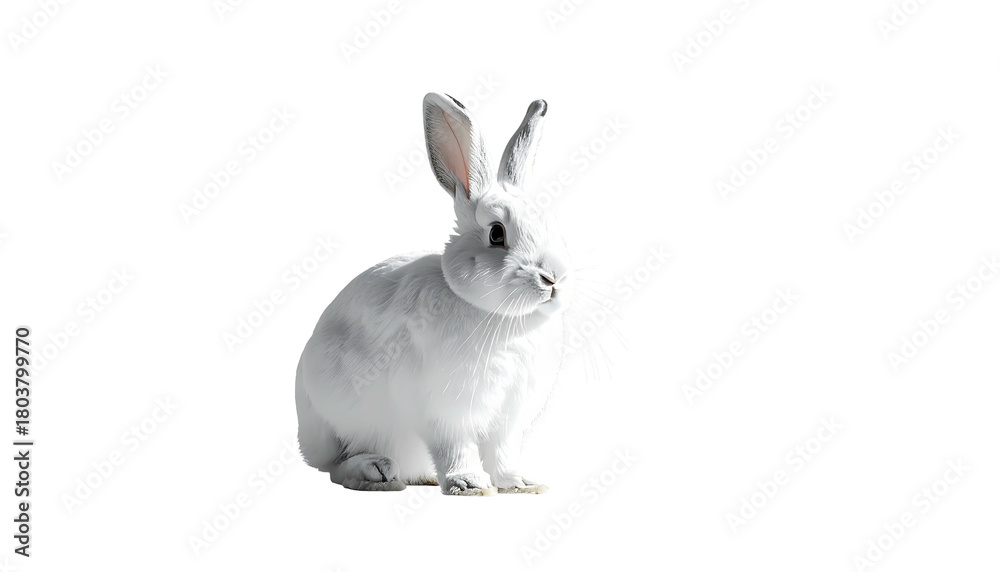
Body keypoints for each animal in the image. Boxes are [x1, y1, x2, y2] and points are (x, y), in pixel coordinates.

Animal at [295, 92, 572, 496]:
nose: (554, 278)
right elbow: (456, 447)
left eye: (550, 226)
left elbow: (502, 453)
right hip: (336, 419)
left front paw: (520, 484)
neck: (500, 317)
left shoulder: (508, 418)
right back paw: (376, 472)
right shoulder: (444, 410)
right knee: (334, 465)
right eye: (497, 234)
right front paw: (469, 484)